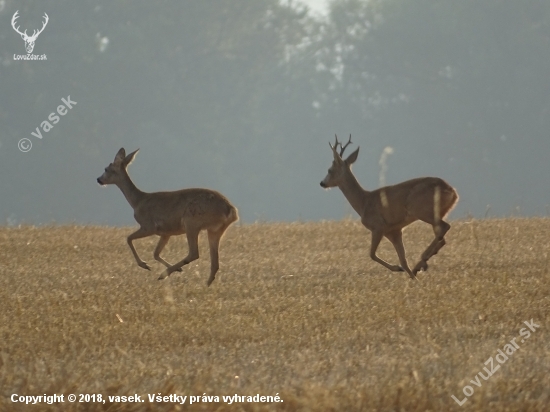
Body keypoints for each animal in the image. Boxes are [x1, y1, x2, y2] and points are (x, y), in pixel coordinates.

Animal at [97, 148, 239, 286]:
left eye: (106, 169)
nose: (98, 179)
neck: (138, 201)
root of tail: (231, 210)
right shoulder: (166, 233)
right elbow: (155, 253)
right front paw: (176, 268)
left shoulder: (149, 226)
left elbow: (129, 238)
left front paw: (144, 265)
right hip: (215, 229)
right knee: (215, 262)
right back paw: (205, 284)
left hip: (191, 222)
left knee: (194, 253)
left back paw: (164, 274)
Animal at [322, 135, 460, 280]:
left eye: (329, 170)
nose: (322, 183)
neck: (364, 202)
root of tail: (452, 191)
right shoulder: (394, 231)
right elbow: (403, 260)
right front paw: (413, 278)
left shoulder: (378, 227)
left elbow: (372, 254)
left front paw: (398, 269)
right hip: (437, 213)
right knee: (442, 237)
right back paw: (421, 264)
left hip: (423, 211)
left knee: (445, 228)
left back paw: (422, 260)